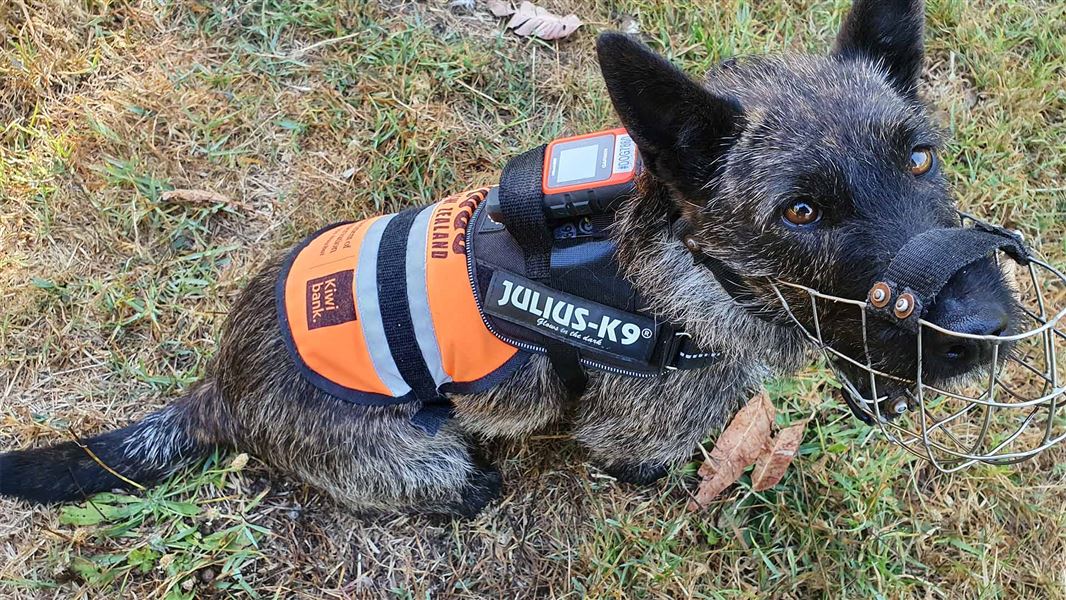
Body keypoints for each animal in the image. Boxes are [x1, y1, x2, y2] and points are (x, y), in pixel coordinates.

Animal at [0, 0, 1014, 515]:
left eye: (919, 157)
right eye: (801, 211)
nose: (988, 327)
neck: (694, 268)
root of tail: (219, 387)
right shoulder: (639, 432)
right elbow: (648, 462)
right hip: (420, 457)